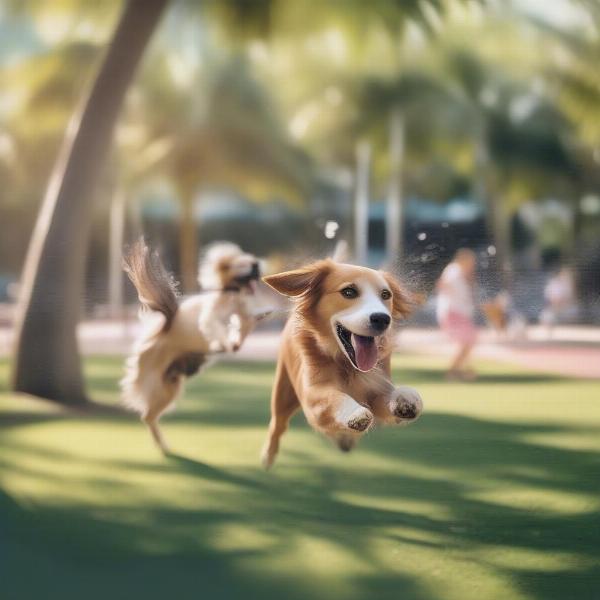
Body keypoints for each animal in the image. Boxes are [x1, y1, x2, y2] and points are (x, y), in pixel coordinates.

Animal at [120, 237, 264, 452]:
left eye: (253, 262)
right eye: (242, 265)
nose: (257, 266)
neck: (230, 296)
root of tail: (158, 334)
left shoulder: (242, 316)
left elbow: (243, 327)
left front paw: (236, 341)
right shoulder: (211, 317)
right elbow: (216, 328)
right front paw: (223, 344)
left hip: (170, 386)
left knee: (150, 416)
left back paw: (162, 444)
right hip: (159, 386)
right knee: (146, 415)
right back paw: (161, 444)